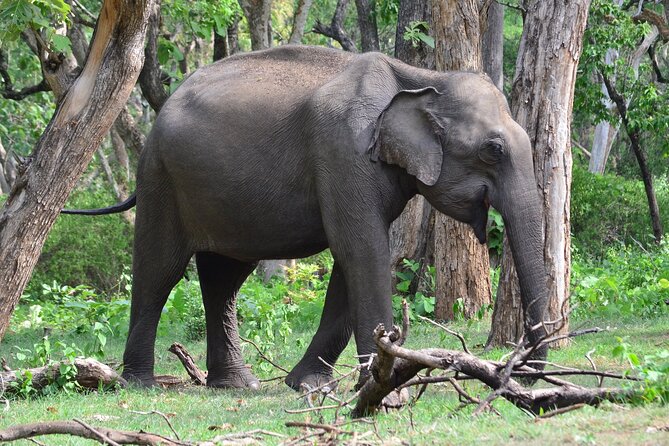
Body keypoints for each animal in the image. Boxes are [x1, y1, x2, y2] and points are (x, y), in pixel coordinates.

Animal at [64, 45, 548, 390]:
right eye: (493, 150)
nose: (522, 377)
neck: (422, 78)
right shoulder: (342, 151)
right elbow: (362, 250)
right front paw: (385, 384)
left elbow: (352, 262)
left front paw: (309, 386)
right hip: (161, 179)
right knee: (159, 269)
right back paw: (140, 384)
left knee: (224, 279)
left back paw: (236, 385)